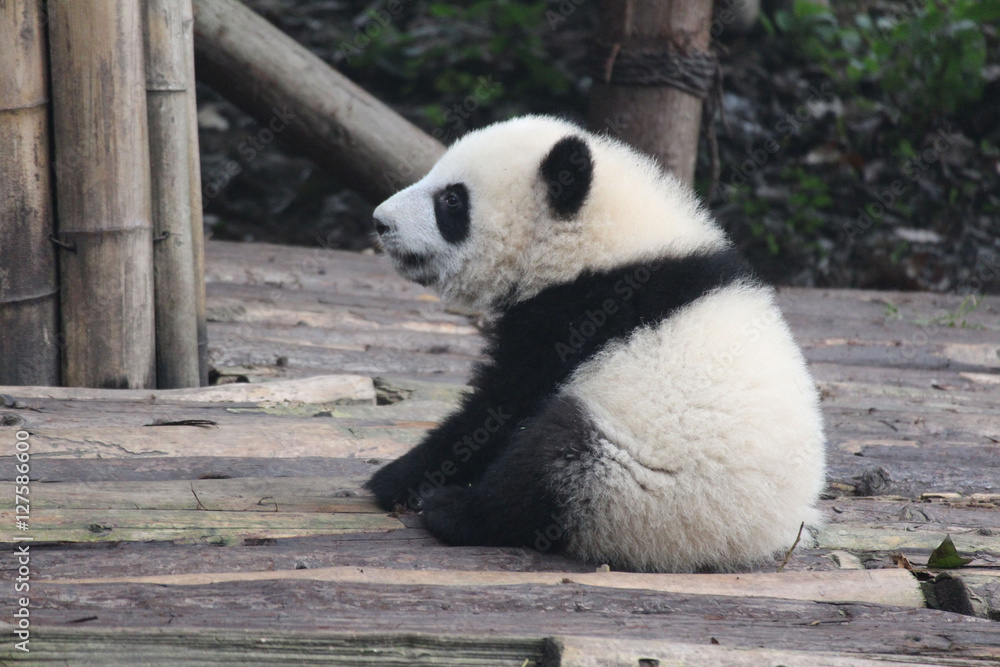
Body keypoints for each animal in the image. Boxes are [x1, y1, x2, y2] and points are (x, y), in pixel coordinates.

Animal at [365, 115, 826, 572]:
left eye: (452, 200)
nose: (380, 222)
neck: (600, 241)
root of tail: (748, 540)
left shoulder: (583, 312)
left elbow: (499, 409)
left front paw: (397, 478)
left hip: (638, 481)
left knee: (548, 460)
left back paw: (455, 511)